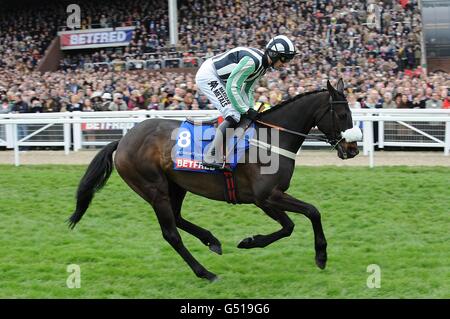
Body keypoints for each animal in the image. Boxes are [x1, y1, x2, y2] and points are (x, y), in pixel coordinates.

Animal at [67, 79, 362, 282]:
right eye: (342, 114)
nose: (352, 149)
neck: (271, 138)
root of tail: (124, 139)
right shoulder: (266, 197)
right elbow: (308, 214)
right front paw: (320, 255)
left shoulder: (268, 198)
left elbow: (296, 222)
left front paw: (250, 242)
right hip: (153, 188)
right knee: (171, 234)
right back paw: (205, 273)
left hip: (176, 185)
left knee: (177, 218)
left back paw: (211, 240)